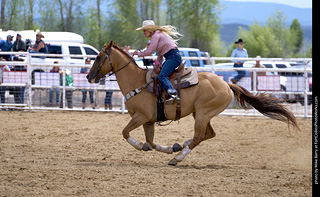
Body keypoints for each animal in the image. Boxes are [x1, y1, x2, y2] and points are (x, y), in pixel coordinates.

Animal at [86, 40, 298, 166]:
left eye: (98, 57)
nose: (88, 76)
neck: (138, 82)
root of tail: (226, 84)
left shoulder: (141, 117)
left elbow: (125, 133)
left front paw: (142, 147)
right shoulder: (148, 121)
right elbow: (151, 142)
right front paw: (167, 147)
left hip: (203, 114)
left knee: (199, 136)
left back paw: (177, 158)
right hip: (202, 114)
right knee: (208, 135)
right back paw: (180, 147)